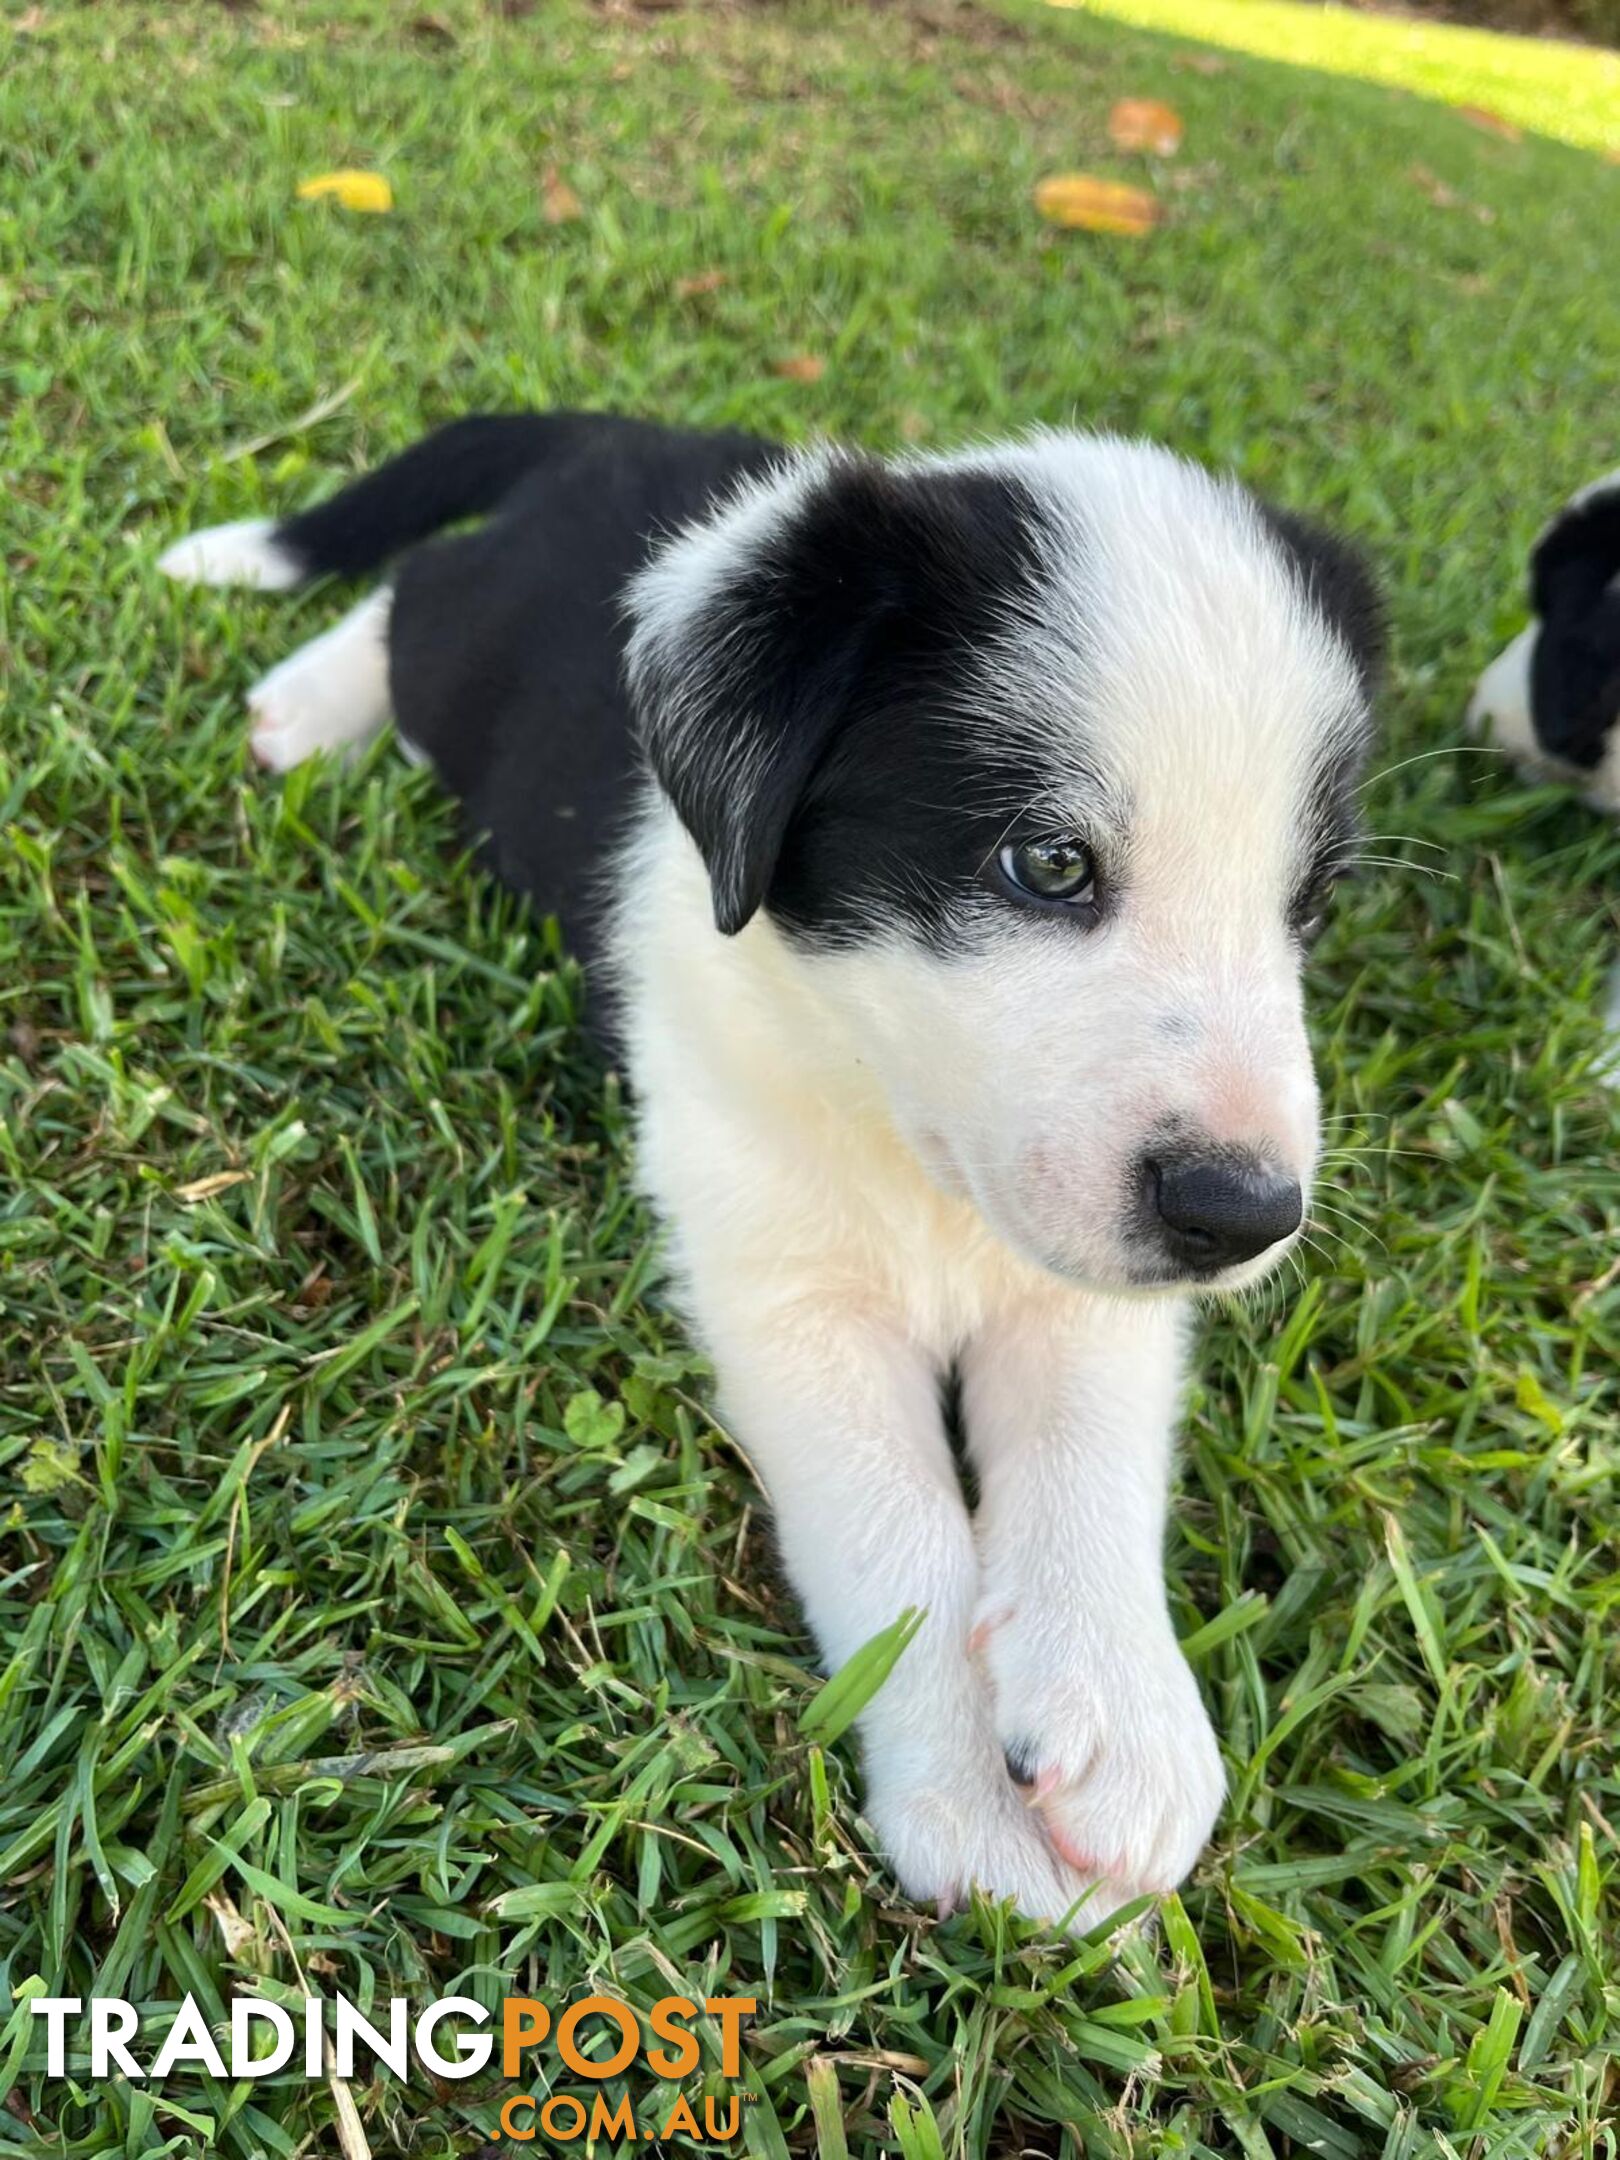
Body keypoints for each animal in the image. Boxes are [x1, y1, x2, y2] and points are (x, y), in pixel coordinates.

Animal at [162, 412, 1382, 1935]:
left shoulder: (1082, 1284)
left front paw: (1122, 1714)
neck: (904, 1136)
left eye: (1309, 907)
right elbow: (893, 1529)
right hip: (473, 652)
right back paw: (307, 705)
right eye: (1046, 862)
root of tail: (620, 429)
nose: (1244, 1217)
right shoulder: (794, 1298)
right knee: (418, 586)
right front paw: (969, 1794)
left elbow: (1088, 1457)